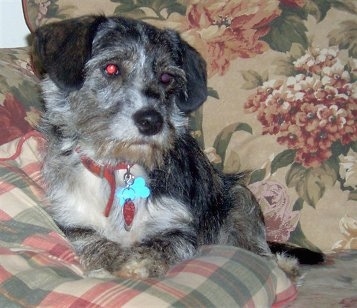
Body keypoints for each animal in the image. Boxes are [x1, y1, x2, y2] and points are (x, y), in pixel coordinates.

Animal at [32, 14, 322, 280]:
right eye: (112, 68)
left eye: (166, 77)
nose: (152, 121)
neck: (121, 167)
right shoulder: (73, 222)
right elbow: (95, 243)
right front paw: (119, 261)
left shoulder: (179, 228)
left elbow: (161, 245)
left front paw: (140, 263)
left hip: (240, 197)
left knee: (259, 249)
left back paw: (285, 265)